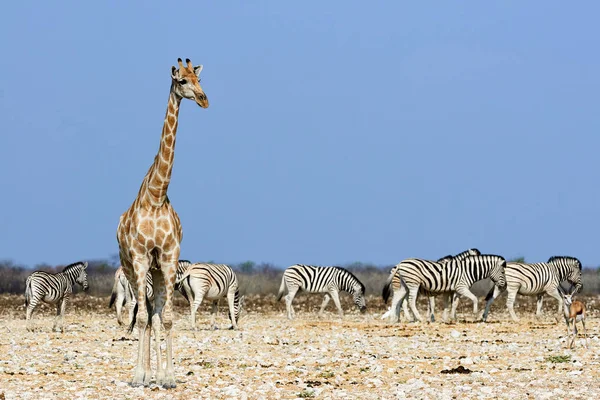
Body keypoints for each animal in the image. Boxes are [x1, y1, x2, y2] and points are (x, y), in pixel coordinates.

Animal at [116, 57, 209, 388]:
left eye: (198, 78)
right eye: (181, 81)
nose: (204, 99)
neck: (156, 195)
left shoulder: (168, 259)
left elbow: (165, 318)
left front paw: (168, 377)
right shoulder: (141, 258)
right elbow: (142, 317)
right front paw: (138, 377)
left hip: (156, 271)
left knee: (155, 313)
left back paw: (155, 374)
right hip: (131, 268)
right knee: (143, 314)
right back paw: (143, 374)